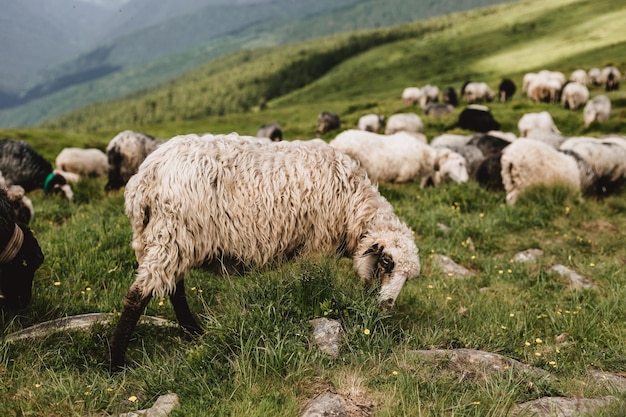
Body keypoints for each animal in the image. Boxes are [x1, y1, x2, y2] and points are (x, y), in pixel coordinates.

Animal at [108, 133, 420, 370]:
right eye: (386, 262)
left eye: (407, 279)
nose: (387, 305)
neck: (352, 205)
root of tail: (145, 177)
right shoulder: (315, 246)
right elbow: (312, 281)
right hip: (171, 234)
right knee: (139, 295)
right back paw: (117, 363)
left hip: (166, 239)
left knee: (174, 288)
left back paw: (192, 332)